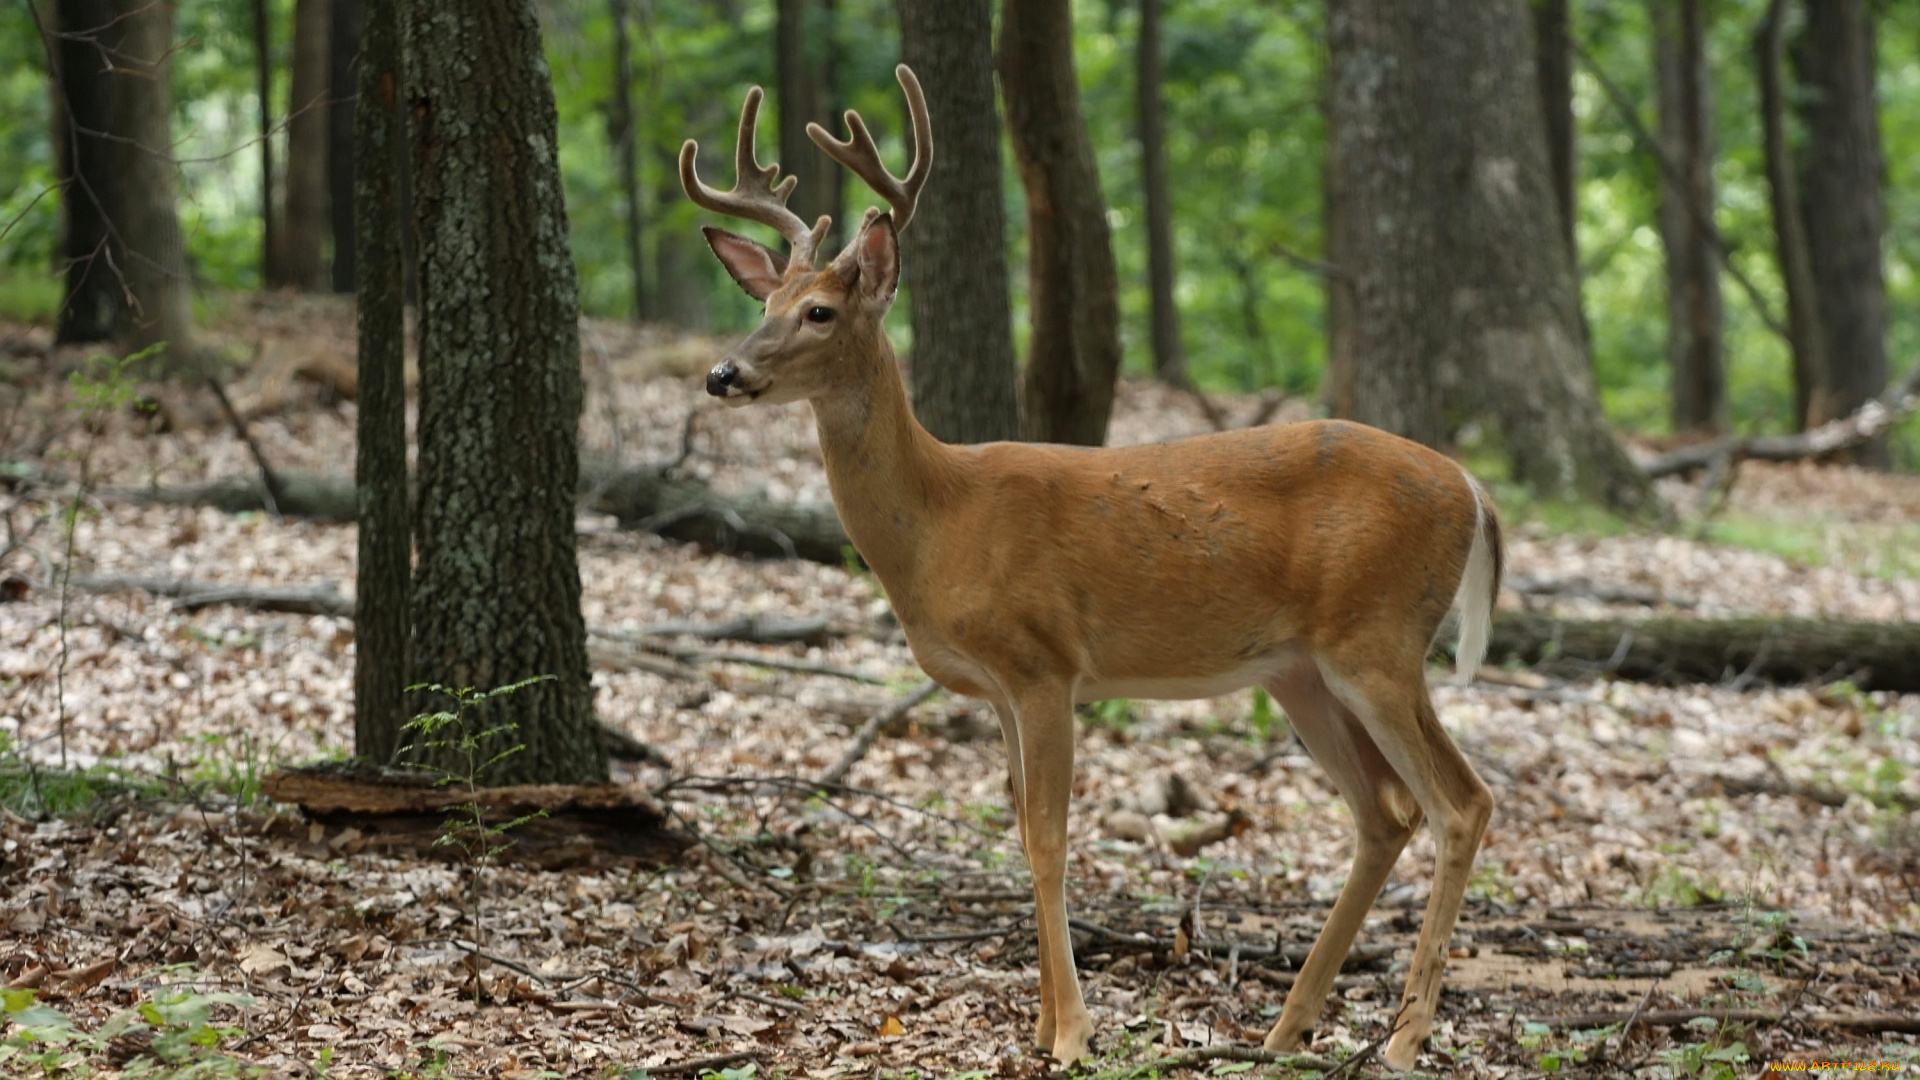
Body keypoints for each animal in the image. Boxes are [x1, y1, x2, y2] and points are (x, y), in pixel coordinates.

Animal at [683, 67, 1505, 1068]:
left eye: (819, 311)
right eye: (761, 305)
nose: (724, 373)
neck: (941, 520)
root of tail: (1472, 488)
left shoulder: (1046, 663)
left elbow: (1048, 840)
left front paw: (1072, 1033)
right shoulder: (998, 687)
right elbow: (1020, 830)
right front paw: (1042, 1025)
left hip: (1378, 638)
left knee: (1462, 802)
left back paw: (1401, 1039)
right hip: (1301, 670)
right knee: (1386, 812)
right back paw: (1287, 1028)